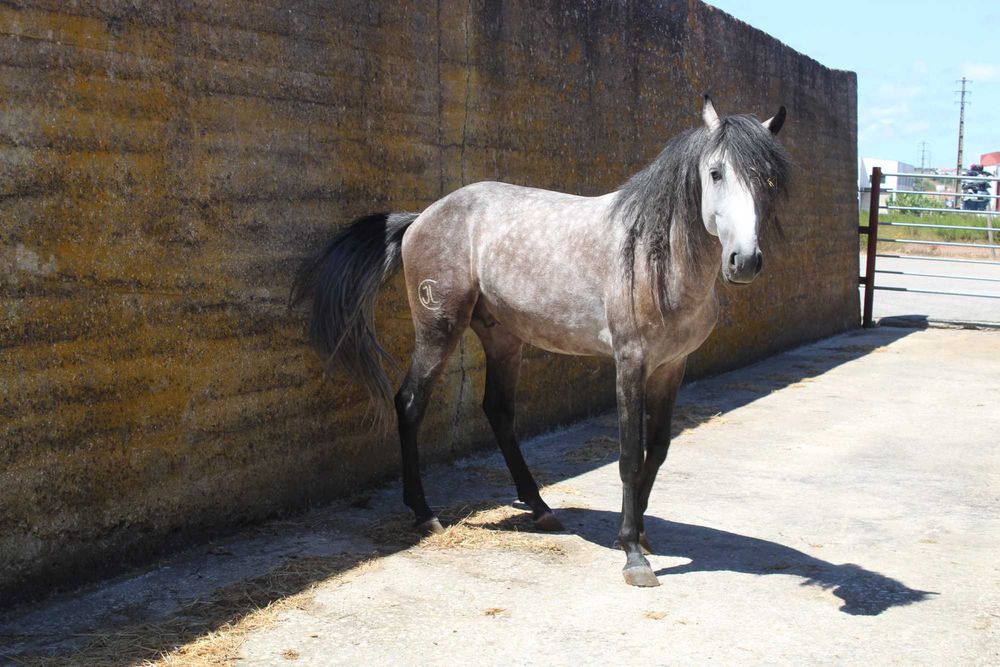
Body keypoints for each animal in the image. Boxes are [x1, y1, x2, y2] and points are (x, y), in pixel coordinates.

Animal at [291, 95, 790, 587]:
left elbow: (659, 449)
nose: (744, 261)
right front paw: (632, 553)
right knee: (410, 403)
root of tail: (420, 219)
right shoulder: (630, 363)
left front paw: (642, 534)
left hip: (503, 337)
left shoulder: (671, 366)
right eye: (716, 172)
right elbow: (630, 455)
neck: (653, 256)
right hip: (439, 329)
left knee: (498, 411)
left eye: (767, 178)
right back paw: (424, 514)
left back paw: (539, 507)